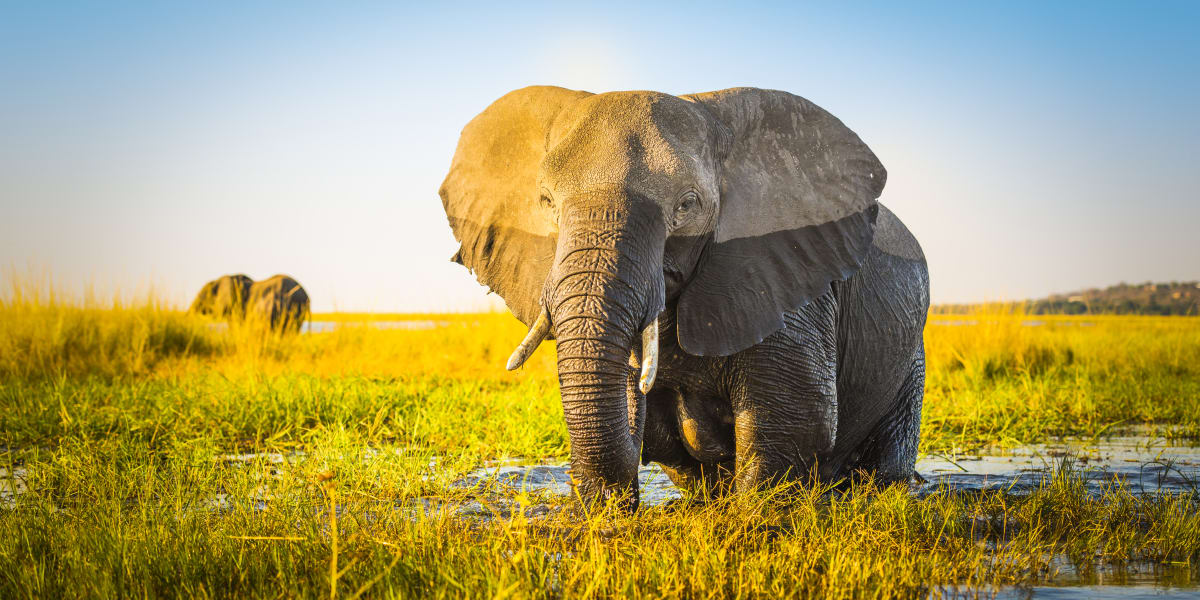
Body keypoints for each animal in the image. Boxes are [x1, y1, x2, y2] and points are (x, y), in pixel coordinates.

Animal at [439, 85, 926, 506]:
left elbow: (797, 417)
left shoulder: (786, 272)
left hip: (911, 359)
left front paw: (751, 521)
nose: (607, 508)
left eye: (687, 205)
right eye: (545, 202)